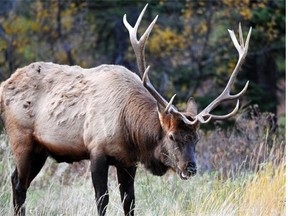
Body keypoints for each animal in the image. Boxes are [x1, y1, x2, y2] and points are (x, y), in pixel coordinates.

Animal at [0, 3, 251, 216]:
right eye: (171, 136)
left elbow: (129, 202)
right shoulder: (97, 150)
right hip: (21, 139)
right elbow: (102, 201)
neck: (129, 129)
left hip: (40, 150)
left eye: (197, 139)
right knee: (18, 184)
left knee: (17, 180)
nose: (190, 168)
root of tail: (4, 85)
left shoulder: (128, 161)